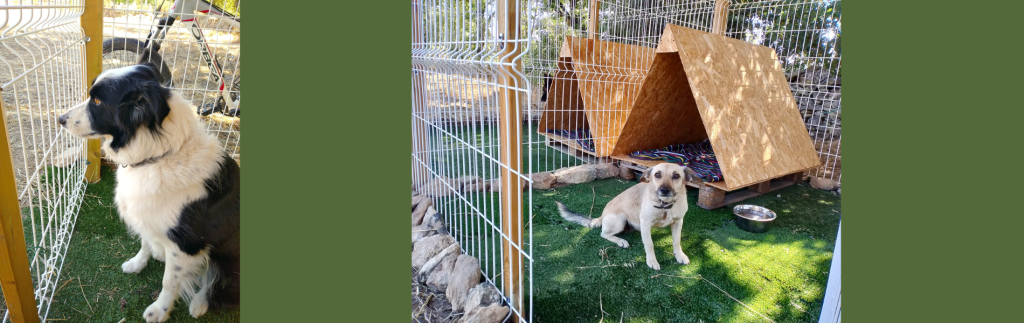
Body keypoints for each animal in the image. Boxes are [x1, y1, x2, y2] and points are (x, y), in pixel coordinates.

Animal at [58, 62, 239, 321]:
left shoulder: (185, 245)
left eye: (98, 101)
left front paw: (159, 311)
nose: (60, 119)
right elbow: (144, 243)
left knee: (213, 283)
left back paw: (199, 304)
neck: (157, 156)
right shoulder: (145, 213)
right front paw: (137, 264)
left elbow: (169, 282)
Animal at [557, 164, 700, 270]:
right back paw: (621, 241)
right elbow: (649, 244)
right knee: (604, 234)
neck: (665, 205)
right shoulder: (646, 223)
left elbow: (676, 241)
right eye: (657, 174)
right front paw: (652, 261)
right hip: (620, 220)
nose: (664, 190)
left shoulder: (678, 222)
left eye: (676, 176)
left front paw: (680, 256)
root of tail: (602, 215)